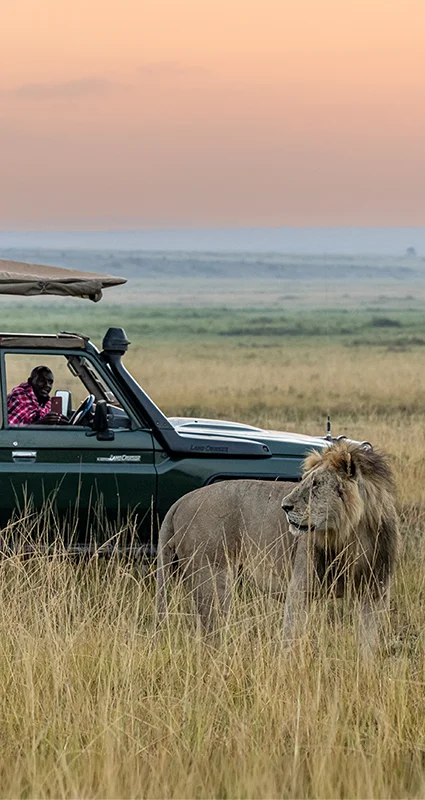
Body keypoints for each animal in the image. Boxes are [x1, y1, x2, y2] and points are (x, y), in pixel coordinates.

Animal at [156, 441, 400, 651]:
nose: (285, 506)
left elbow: (368, 643)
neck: (351, 535)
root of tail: (182, 500)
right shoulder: (300, 588)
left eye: (316, 484)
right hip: (213, 579)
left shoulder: (375, 592)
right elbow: (291, 637)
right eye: (304, 481)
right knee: (210, 632)